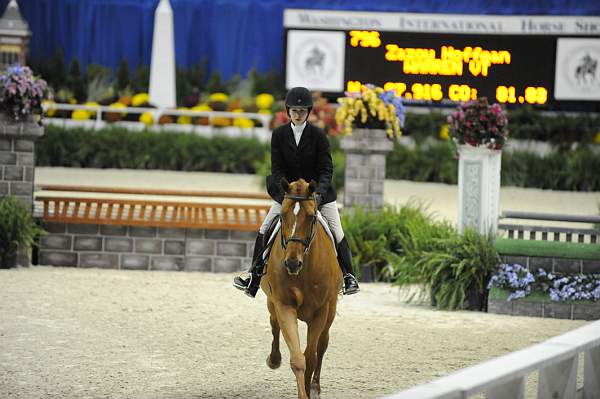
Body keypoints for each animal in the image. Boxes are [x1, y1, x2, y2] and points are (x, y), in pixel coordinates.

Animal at [258, 179, 340, 399]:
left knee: (323, 344)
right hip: (272, 302)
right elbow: (298, 359)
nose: (292, 264)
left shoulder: (321, 310)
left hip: (331, 309)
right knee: (273, 323)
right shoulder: (284, 305)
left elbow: (310, 356)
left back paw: (315, 386)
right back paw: (274, 359)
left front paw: (310, 390)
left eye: (311, 217)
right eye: (282, 216)